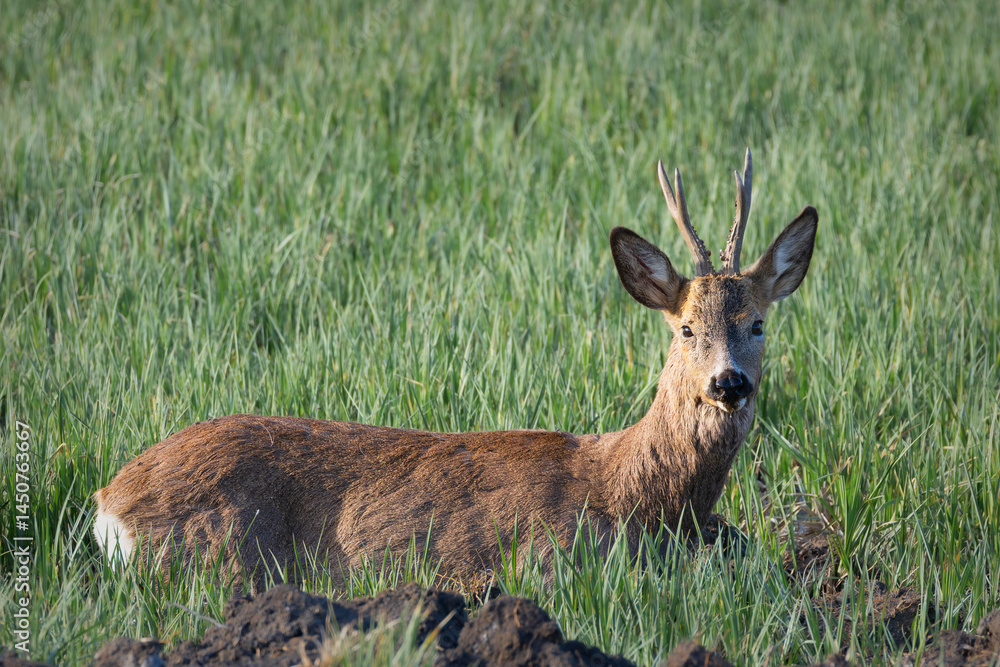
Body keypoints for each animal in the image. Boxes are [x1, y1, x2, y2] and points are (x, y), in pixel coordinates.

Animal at [94, 148, 817, 591]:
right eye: (686, 327)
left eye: (758, 324)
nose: (729, 382)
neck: (635, 493)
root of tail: (110, 499)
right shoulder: (548, 557)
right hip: (221, 554)